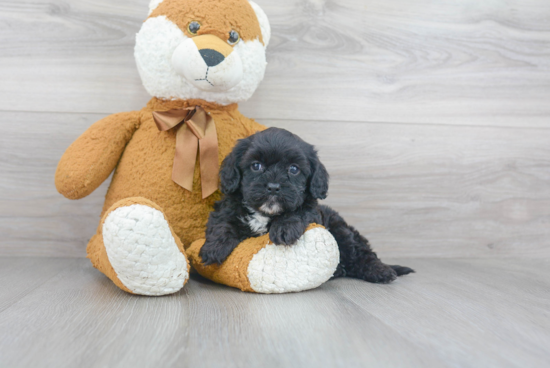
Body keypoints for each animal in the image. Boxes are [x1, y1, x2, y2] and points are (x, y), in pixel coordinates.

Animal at [202, 128, 414, 284]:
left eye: (294, 169)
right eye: (256, 166)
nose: (273, 187)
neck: (265, 213)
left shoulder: (312, 211)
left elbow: (298, 211)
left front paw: (284, 228)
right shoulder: (227, 207)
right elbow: (222, 223)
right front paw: (214, 248)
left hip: (342, 231)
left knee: (362, 254)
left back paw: (381, 271)